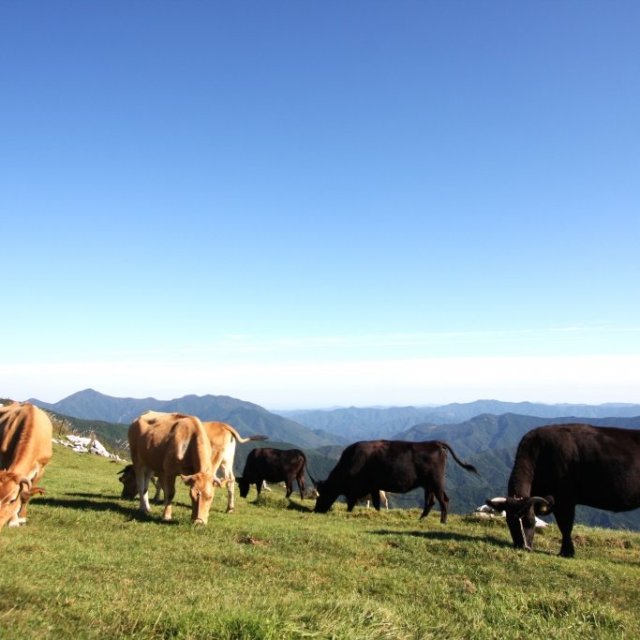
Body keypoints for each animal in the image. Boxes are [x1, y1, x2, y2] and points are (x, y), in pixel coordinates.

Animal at [312, 438, 478, 524]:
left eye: (321, 495)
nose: (316, 510)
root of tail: (434, 442)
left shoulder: (362, 488)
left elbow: (356, 502)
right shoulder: (373, 487)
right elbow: (375, 504)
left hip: (436, 481)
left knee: (443, 500)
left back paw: (442, 522)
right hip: (429, 484)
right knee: (431, 501)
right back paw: (420, 519)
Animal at [488, 424, 640, 556]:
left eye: (531, 521)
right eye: (509, 522)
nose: (523, 547)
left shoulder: (564, 499)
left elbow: (565, 525)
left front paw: (566, 553)